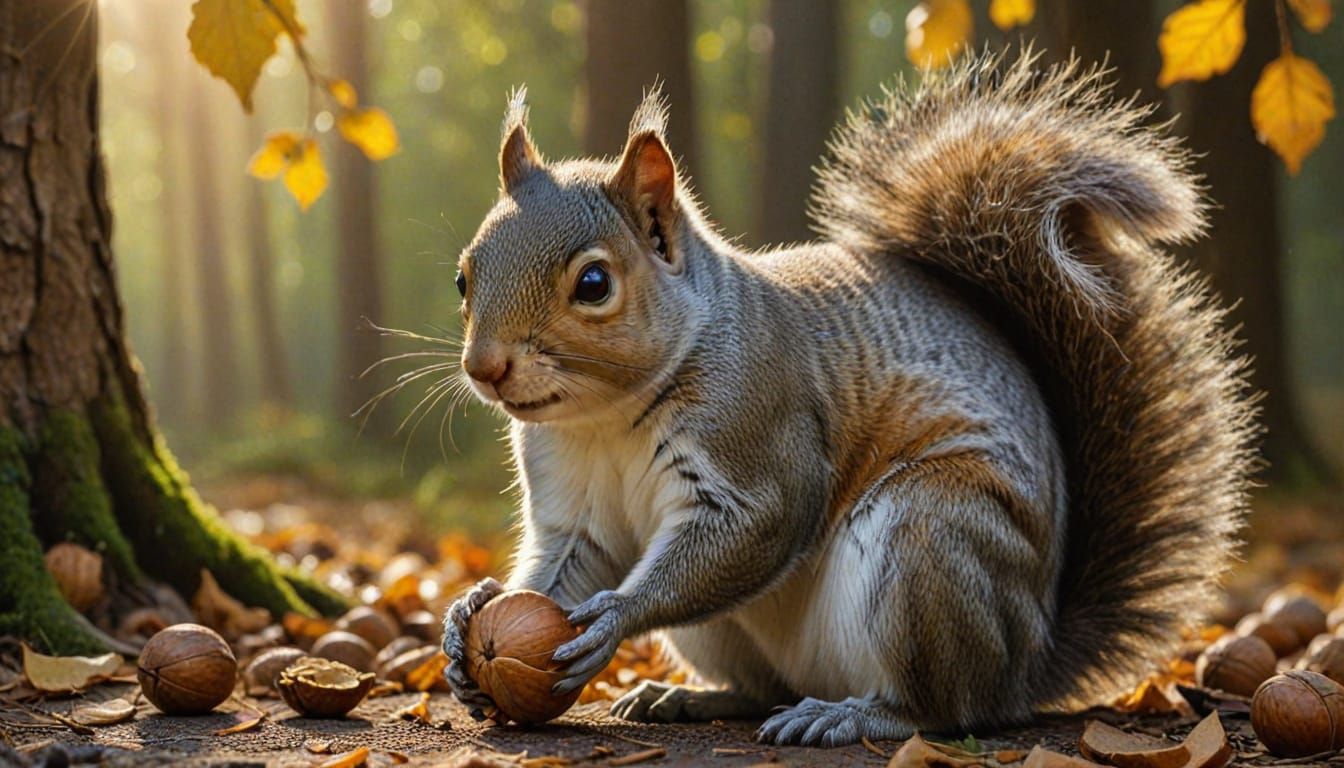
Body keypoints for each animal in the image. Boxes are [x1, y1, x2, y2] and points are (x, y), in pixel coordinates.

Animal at [439, 48, 1257, 747]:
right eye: (463, 274)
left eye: (594, 284)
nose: (485, 368)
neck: (604, 416)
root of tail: (1029, 663)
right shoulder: (573, 503)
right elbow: (566, 563)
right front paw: (468, 618)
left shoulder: (759, 431)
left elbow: (757, 524)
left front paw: (613, 617)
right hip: (739, 631)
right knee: (763, 689)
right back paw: (692, 698)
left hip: (931, 542)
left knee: (944, 707)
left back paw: (852, 717)